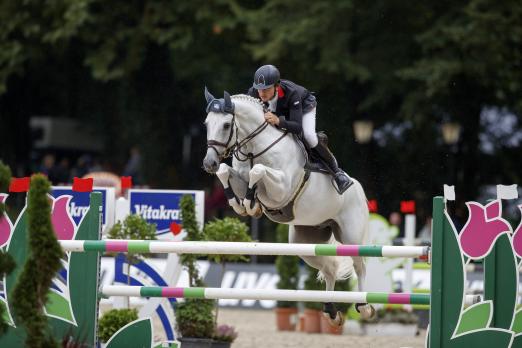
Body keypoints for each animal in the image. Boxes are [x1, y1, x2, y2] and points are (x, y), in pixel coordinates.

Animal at [201, 90, 372, 326]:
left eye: (227, 125)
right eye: (207, 123)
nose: (209, 163)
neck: (254, 149)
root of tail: (359, 189)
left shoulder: (281, 190)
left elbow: (258, 171)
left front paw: (251, 203)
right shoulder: (239, 177)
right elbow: (226, 172)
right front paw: (243, 205)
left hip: (351, 237)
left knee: (360, 265)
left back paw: (364, 307)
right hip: (304, 242)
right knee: (330, 268)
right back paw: (331, 312)